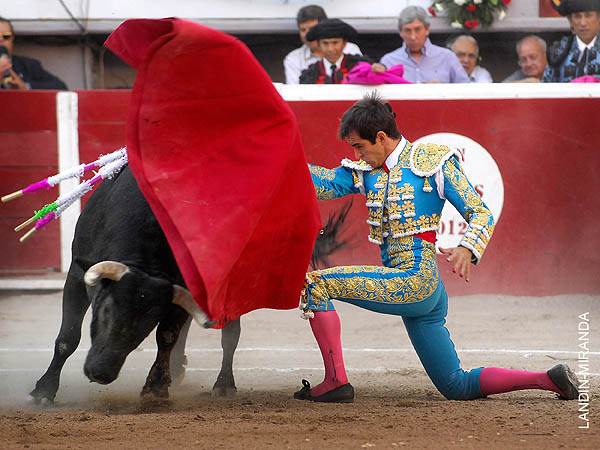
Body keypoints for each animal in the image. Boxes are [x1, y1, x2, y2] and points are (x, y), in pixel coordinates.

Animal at [28, 163, 350, 402]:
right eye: (105, 310)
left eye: (146, 324)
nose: (100, 373)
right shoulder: (76, 273)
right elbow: (68, 337)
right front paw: (43, 390)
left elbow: (166, 336)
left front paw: (156, 387)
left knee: (229, 335)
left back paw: (223, 384)